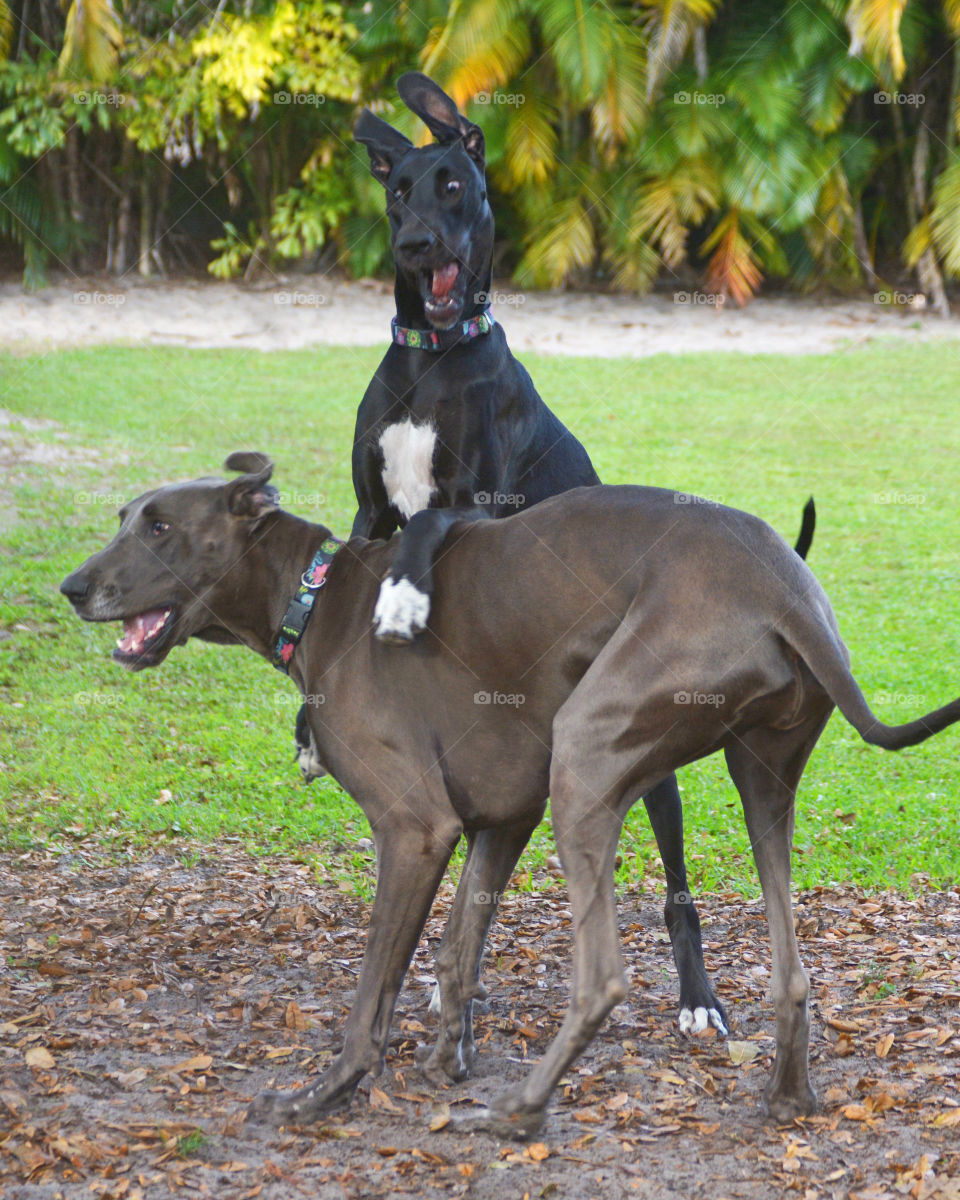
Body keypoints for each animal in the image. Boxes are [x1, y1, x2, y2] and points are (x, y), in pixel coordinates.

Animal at [61, 453, 960, 1137]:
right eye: (123, 515)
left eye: (160, 526)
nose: (72, 587)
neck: (315, 597)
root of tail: (782, 584)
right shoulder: (501, 816)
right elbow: (458, 948)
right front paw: (446, 1058)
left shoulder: (415, 826)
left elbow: (374, 989)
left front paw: (326, 1091)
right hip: (760, 775)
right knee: (790, 970)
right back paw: (788, 1096)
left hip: (589, 753)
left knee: (602, 980)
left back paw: (521, 1109)